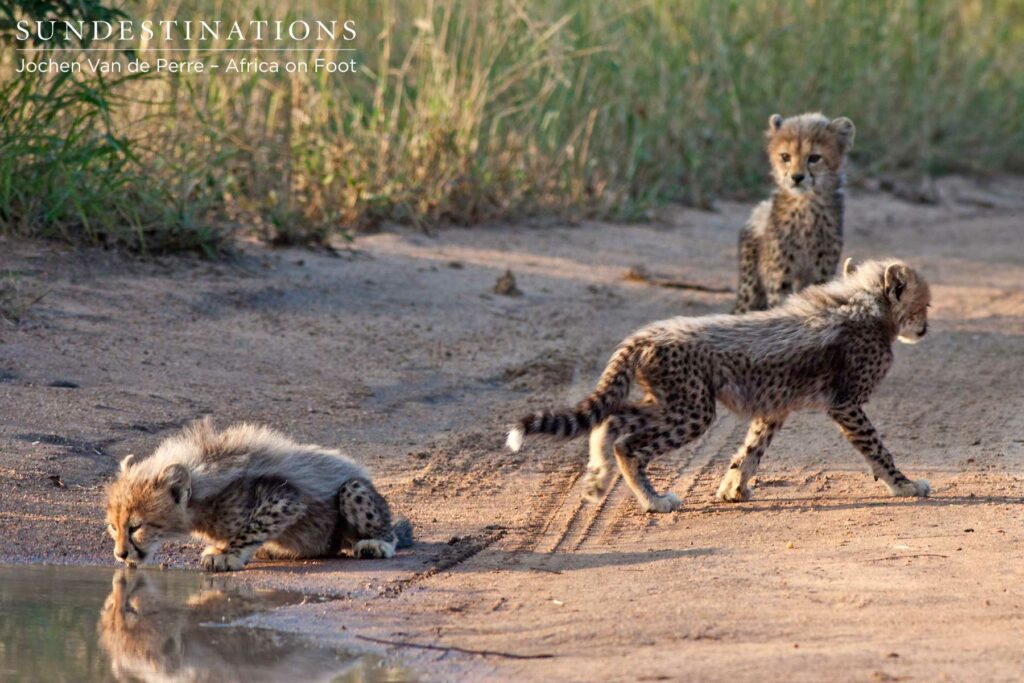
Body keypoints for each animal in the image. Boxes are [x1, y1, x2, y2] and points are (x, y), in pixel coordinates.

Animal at [507, 258, 931, 513]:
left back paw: (598, 479)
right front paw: (905, 486)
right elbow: (877, 448)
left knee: (610, 419)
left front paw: (733, 489)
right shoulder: (845, 403)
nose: (925, 328)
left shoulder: (775, 407)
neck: (866, 305)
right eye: (924, 305)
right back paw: (654, 501)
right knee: (628, 444)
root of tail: (647, 333)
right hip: (693, 410)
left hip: (671, 401)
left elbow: (750, 450)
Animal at [734, 112, 856, 313]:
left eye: (814, 158)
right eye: (785, 156)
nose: (797, 177)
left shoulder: (821, 273)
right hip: (750, 287)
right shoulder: (781, 276)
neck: (806, 205)